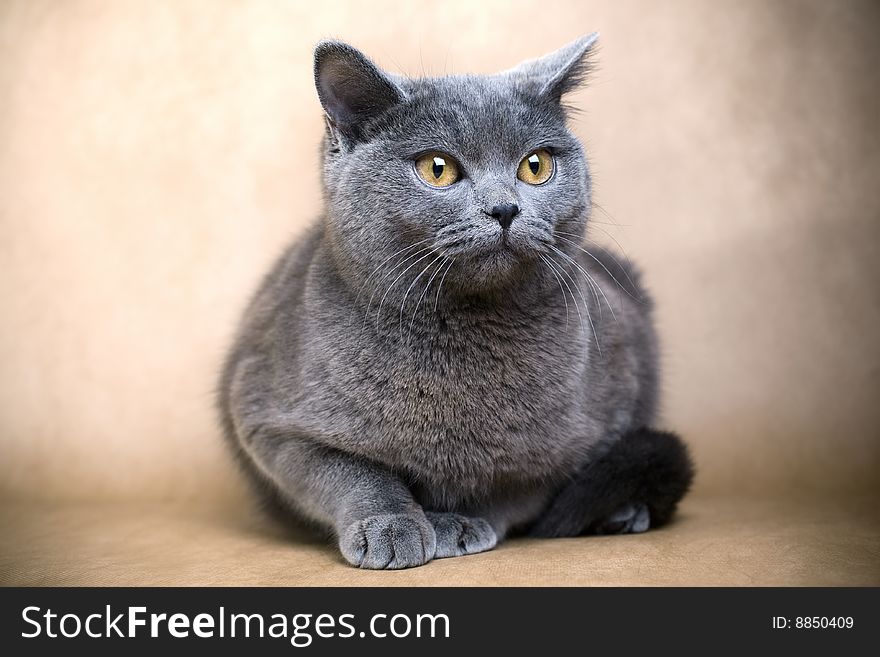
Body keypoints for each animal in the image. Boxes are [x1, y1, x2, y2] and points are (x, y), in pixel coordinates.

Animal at [217, 34, 692, 568]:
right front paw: (392, 524)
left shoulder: (601, 411)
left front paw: (462, 521)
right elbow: (348, 471)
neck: (462, 332)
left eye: (536, 166)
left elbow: (522, 484)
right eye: (437, 169)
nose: (505, 208)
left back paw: (624, 512)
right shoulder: (266, 418)